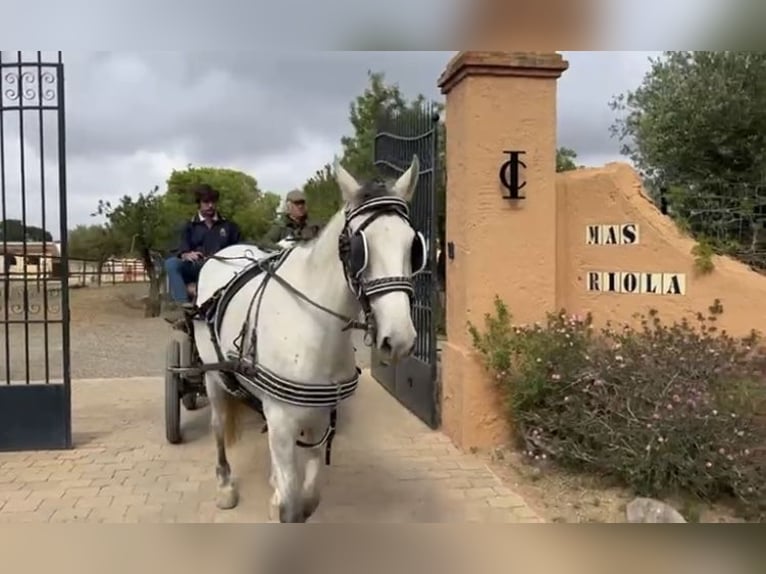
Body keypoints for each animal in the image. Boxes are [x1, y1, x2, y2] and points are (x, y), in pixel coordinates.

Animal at [191, 155, 426, 524]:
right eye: (358, 247)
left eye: (413, 246)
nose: (399, 339)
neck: (311, 326)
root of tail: (228, 252)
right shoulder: (283, 419)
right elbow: (291, 508)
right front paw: (277, 497)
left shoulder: (318, 419)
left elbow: (310, 499)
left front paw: (280, 490)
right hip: (214, 376)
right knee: (217, 425)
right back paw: (225, 484)